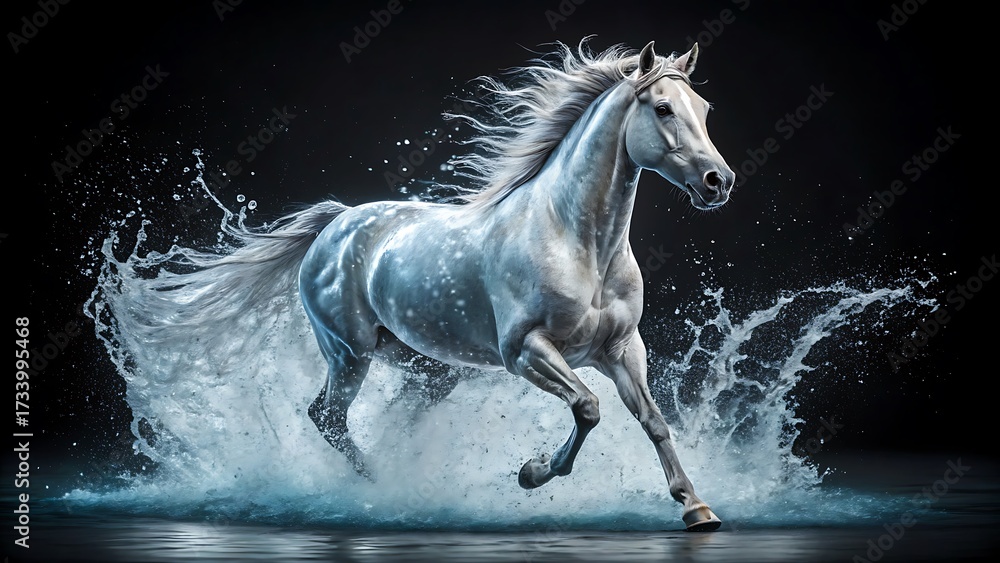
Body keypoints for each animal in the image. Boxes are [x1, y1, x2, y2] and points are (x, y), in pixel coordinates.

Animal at [143, 39, 735, 531]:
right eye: (662, 108)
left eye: (705, 109)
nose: (718, 182)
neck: (578, 243)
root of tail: (334, 223)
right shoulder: (526, 351)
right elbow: (587, 407)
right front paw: (531, 472)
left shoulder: (620, 349)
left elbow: (654, 421)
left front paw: (696, 507)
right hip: (349, 352)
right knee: (327, 418)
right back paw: (379, 490)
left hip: (426, 369)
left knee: (381, 420)